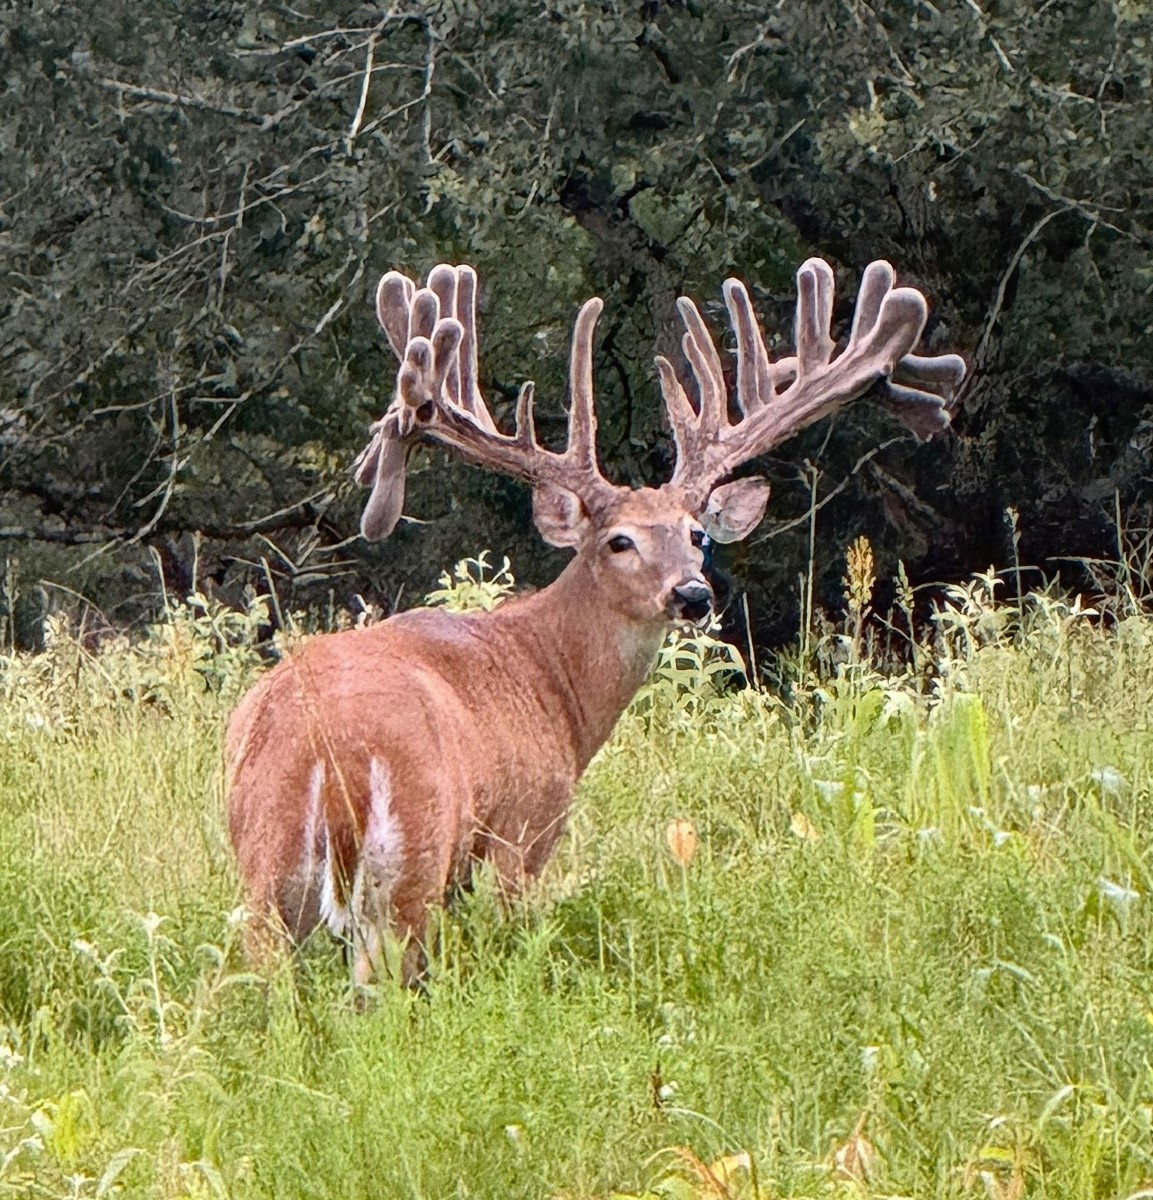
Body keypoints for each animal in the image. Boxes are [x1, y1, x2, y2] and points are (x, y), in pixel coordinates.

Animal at [226, 257, 966, 984]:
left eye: (697, 534)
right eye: (619, 541)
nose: (691, 595)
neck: (550, 679)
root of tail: (329, 751)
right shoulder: (527, 827)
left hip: (265, 871)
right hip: (413, 858)